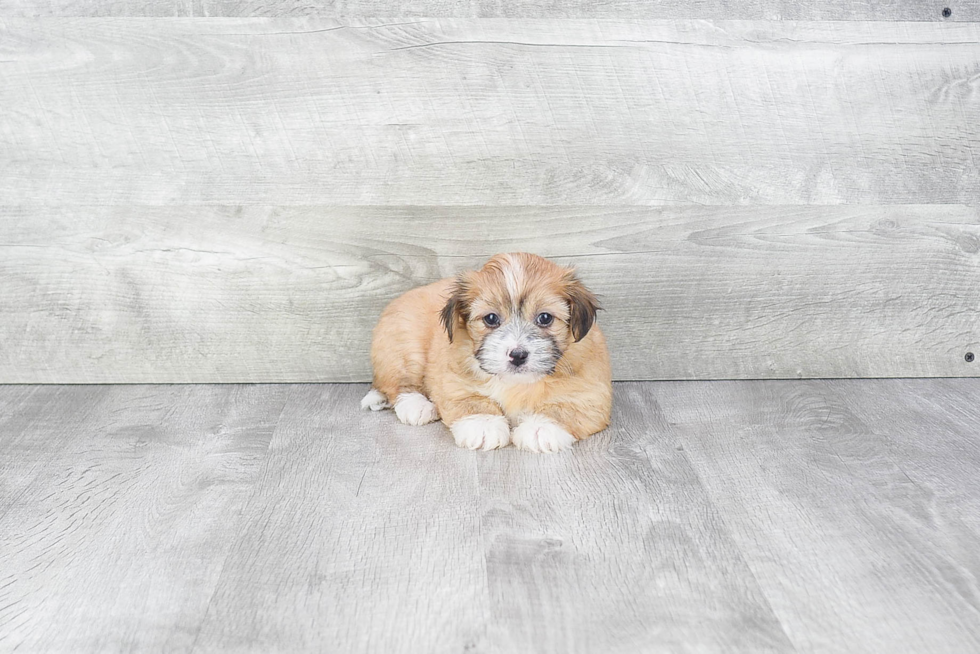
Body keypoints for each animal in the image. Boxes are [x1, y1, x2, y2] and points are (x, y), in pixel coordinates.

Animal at [360, 254, 612, 454]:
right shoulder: (452, 381)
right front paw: (484, 425)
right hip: (405, 346)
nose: (517, 355)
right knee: (399, 383)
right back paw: (417, 406)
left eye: (545, 318)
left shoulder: (591, 393)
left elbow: (563, 408)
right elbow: (472, 401)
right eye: (491, 318)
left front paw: (540, 428)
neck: (516, 383)